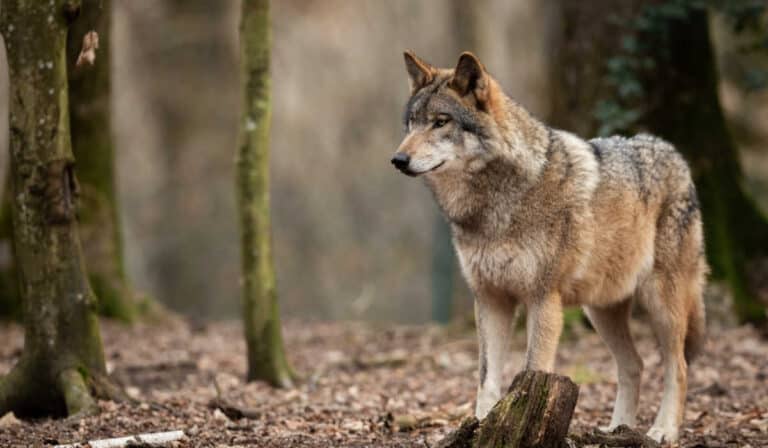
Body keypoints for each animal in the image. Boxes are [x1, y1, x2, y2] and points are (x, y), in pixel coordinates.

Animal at [391, 51, 707, 444]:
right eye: (411, 123)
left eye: (440, 122)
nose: (398, 160)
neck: (495, 205)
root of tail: (674, 152)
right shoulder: (491, 299)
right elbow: (486, 380)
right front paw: (480, 427)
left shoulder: (543, 299)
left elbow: (531, 370)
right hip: (600, 310)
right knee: (634, 364)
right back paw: (617, 429)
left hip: (661, 305)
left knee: (678, 367)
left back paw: (663, 430)